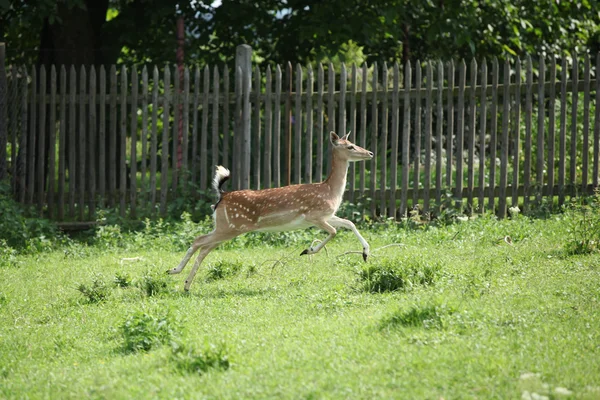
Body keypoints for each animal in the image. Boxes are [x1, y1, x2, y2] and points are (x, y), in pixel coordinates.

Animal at [169, 131, 372, 290]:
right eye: (351, 146)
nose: (370, 153)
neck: (330, 191)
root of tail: (222, 195)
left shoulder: (327, 215)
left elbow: (349, 223)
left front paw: (365, 253)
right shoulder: (314, 215)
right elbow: (334, 231)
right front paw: (308, 250)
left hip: (225, 226)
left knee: (204, 246)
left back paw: (182, 280)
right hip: (231, 227)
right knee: (200, 241)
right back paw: (178, 274)